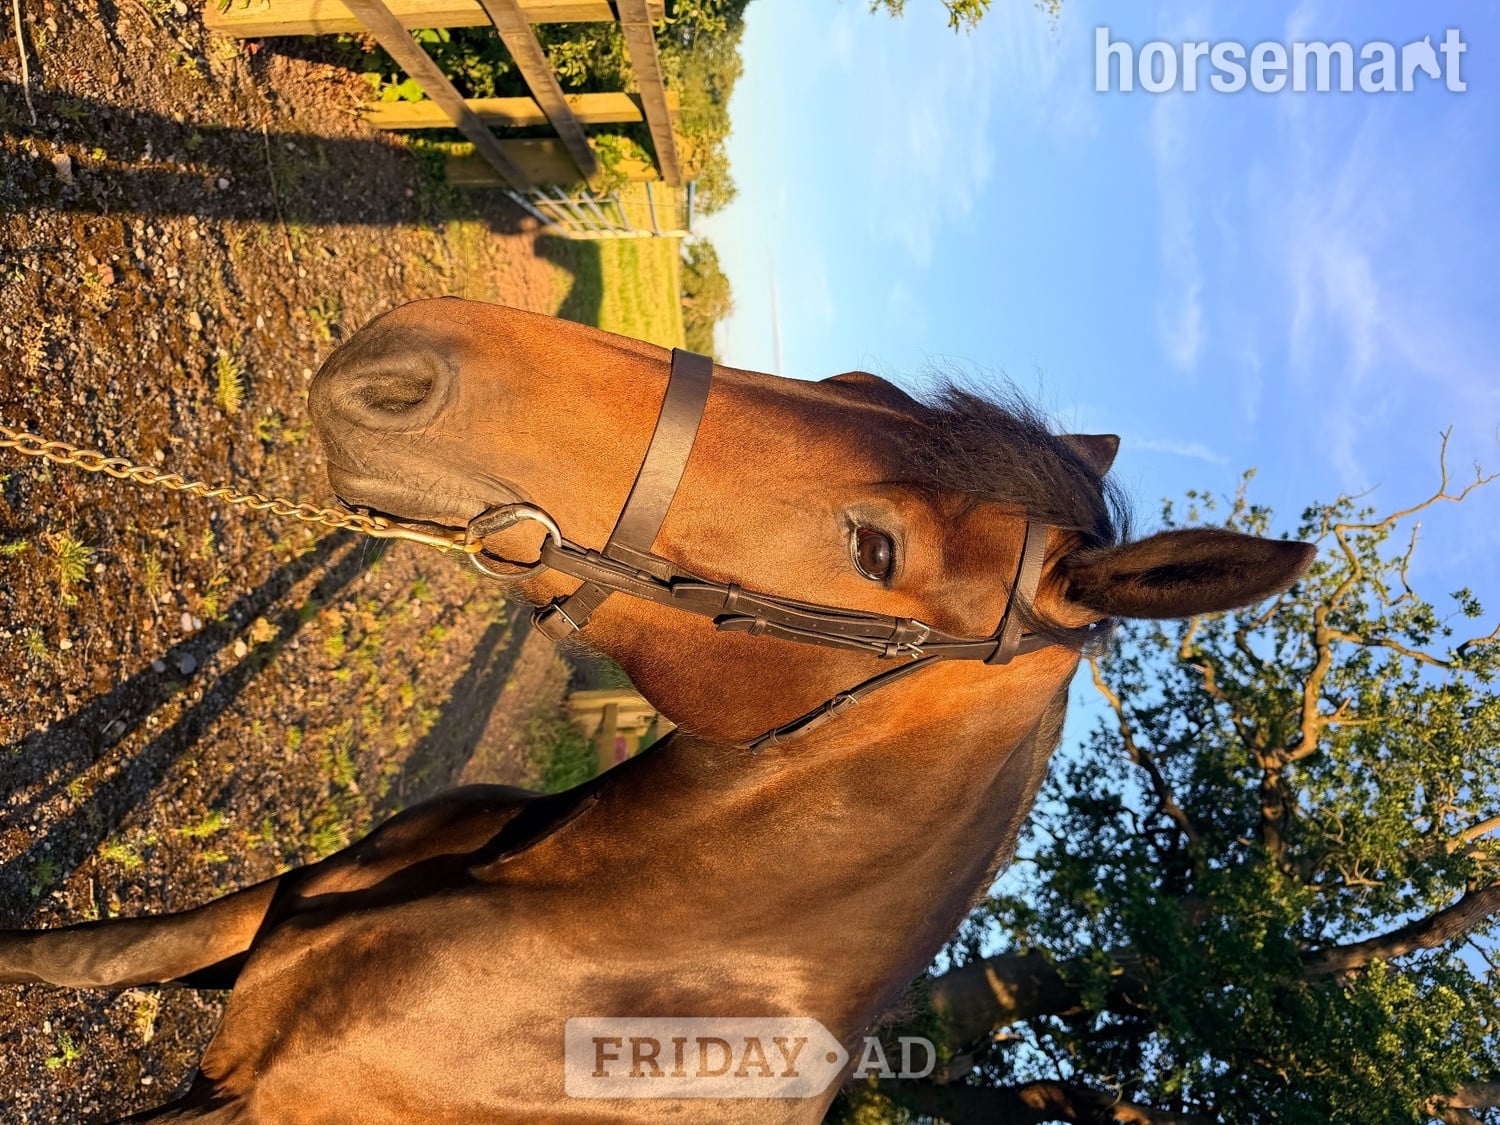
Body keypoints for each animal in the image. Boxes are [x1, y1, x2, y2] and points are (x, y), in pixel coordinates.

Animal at [0, 299, 1314, 1123]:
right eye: (852, 385)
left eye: (877, 551)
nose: (405, 356)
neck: (600, 937)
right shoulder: (243, 925)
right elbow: (68, 955)